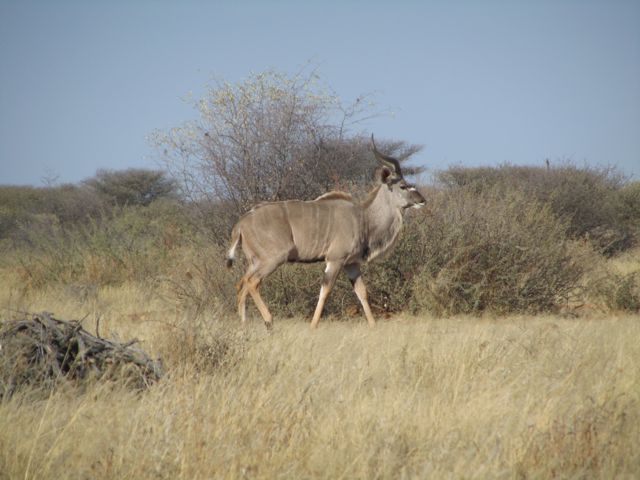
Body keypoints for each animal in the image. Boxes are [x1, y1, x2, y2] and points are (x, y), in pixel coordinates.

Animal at [225, 136, 424, 330]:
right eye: (403, 186)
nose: (422, 200)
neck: (364, 218)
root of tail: (241, 223)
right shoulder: (335, 260)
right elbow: (325, 291)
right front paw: (313, 326)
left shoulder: (351, 264)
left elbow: (362, 292)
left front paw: (373, 326)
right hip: (272, 259)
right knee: (252, 282)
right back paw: (268, 320)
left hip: (255, 262)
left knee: (241, 283)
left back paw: (244, 324)